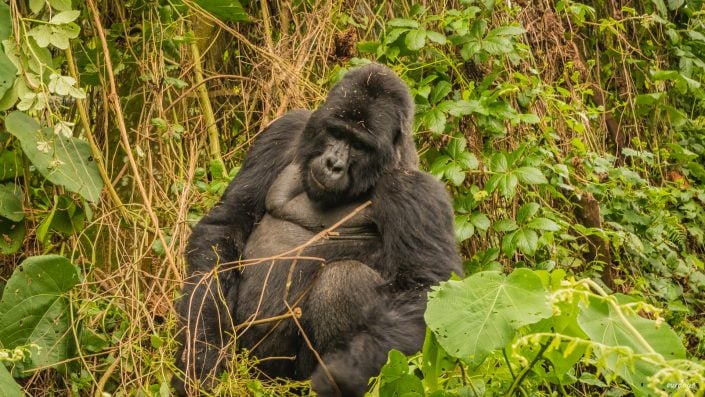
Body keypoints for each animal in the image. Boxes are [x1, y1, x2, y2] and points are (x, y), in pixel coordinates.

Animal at [175, 63, 462, 394]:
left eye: (359, 145)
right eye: (336, 132)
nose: (333, 163)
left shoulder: (416, 191)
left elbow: (426, 290)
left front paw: (344, 374)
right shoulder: (285, 130)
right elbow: (227, 223)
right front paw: (202, 350)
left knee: (342, 280)